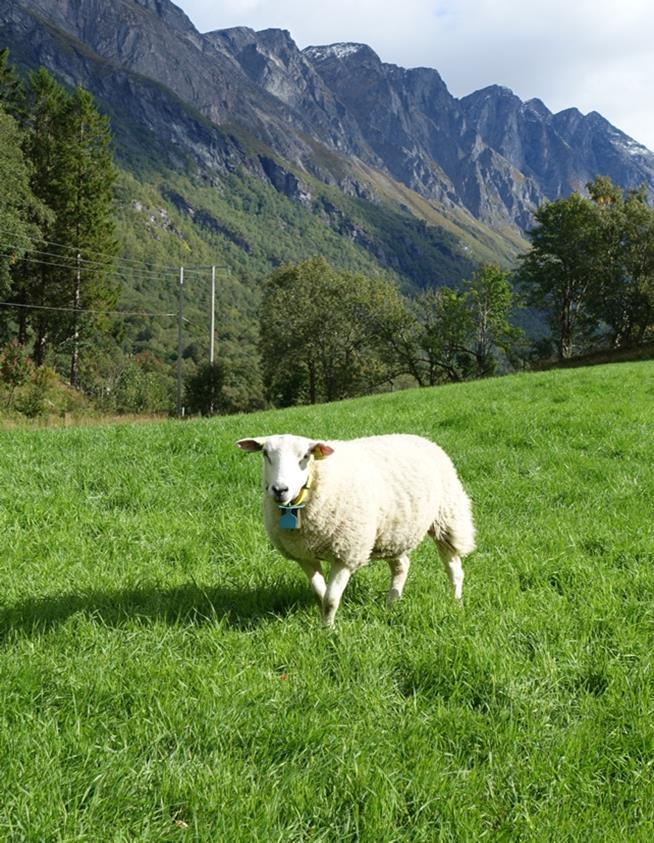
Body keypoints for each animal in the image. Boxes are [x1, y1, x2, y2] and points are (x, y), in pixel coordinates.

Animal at [236, 436, 476, 628]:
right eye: (265, 454)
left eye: (305, 456)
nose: (280, 490)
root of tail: (421, 438)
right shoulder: (304, 556)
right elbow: (320, 594)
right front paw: (324, 624)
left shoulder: (346, 553)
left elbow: (331, 598)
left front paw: (328, 632)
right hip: (393, 533)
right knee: (401, 566)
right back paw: (392, 602)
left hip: (446, 517)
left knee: (454, 568)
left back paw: (456, 602)